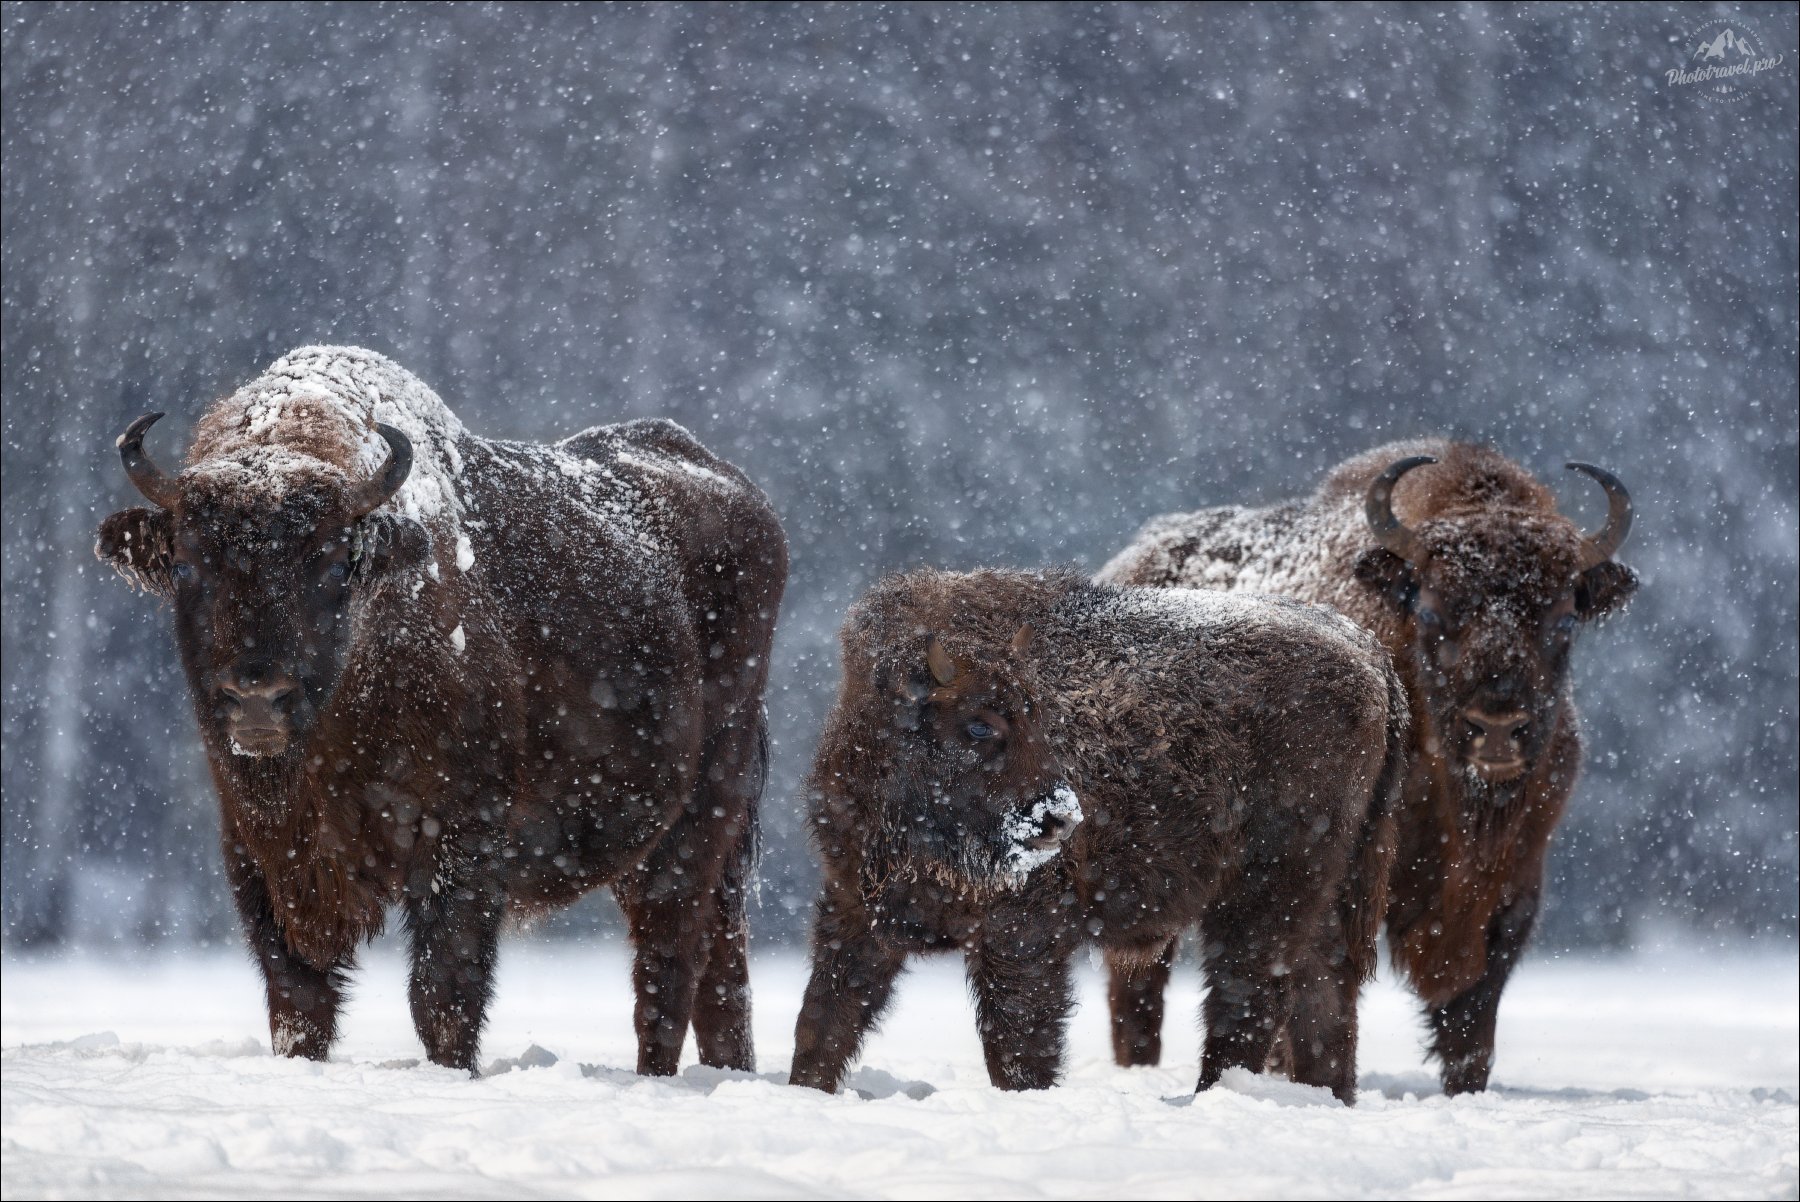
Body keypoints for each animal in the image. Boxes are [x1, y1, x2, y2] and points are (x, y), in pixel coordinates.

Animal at [89, 345, 781, 1072]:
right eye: (187, 565)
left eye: (334, 565)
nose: (257, 696)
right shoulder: (261, 854)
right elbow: (298, 996)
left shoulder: (461, 840)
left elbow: (443, 994)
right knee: (720, 964)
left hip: (704, 811)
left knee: (668, 961)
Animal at [788, 568, 1404, 1101]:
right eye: (978, 726)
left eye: (1036, 716)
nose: (1060, 816)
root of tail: (1369, 654)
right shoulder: (854, 911)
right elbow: (822, 1021)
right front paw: (805, 1092)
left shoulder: (1020, 936)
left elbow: (1016, 1046)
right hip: (1321, 893)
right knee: (1320, 990)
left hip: (1269, 888)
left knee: (1247, 992)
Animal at [1101, 439, 1641, 1086]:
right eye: (1431, 613)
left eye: (1563, 619)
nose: (1496, 726)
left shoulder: (1513, 884)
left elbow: (1472, 1018)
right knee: (1138, 987)